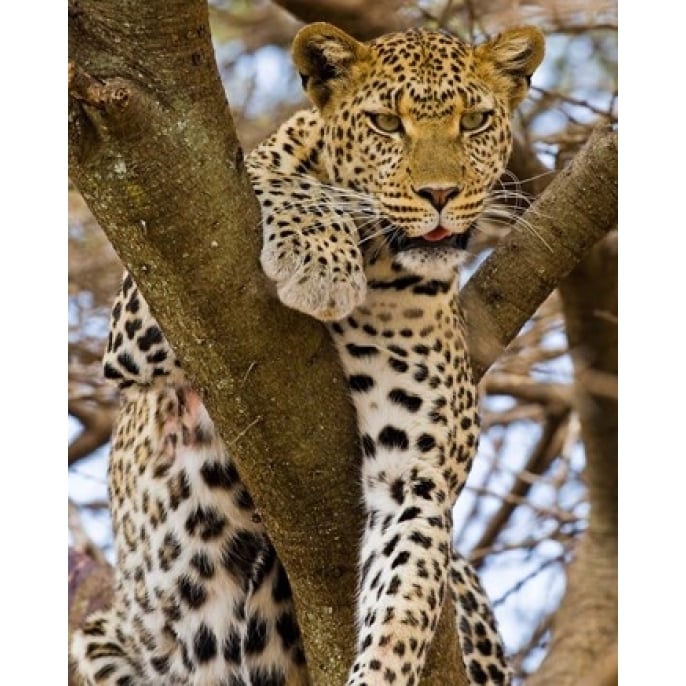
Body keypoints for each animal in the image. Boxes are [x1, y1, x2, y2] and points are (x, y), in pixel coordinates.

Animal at [70, 21, 544, 686]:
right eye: (386, 123)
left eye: (474, 121)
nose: (440, 194)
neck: (382, 262)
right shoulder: (145, 314)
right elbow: (284, 180)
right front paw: (322, 261)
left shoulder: (414, 482)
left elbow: (401, 612)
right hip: (101, 641)